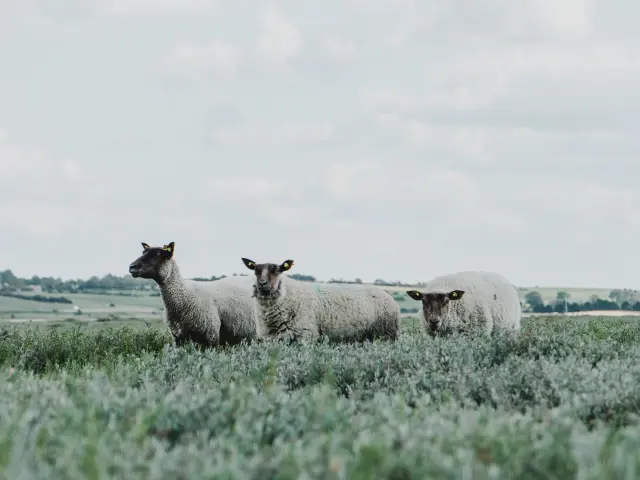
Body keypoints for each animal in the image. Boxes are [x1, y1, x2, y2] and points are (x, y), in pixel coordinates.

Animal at [128, 242, 261, 348]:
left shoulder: (211, 335)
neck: (184, 294)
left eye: (157, 254)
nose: (132, 267)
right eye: (143, 252)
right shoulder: (178, 337)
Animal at [240, 257, 400, 344]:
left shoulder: (305, 336)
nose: (262, 283)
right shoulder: (272, 339)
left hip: (387, 335)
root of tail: (385, 293)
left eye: (278, 270)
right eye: (255, 271)